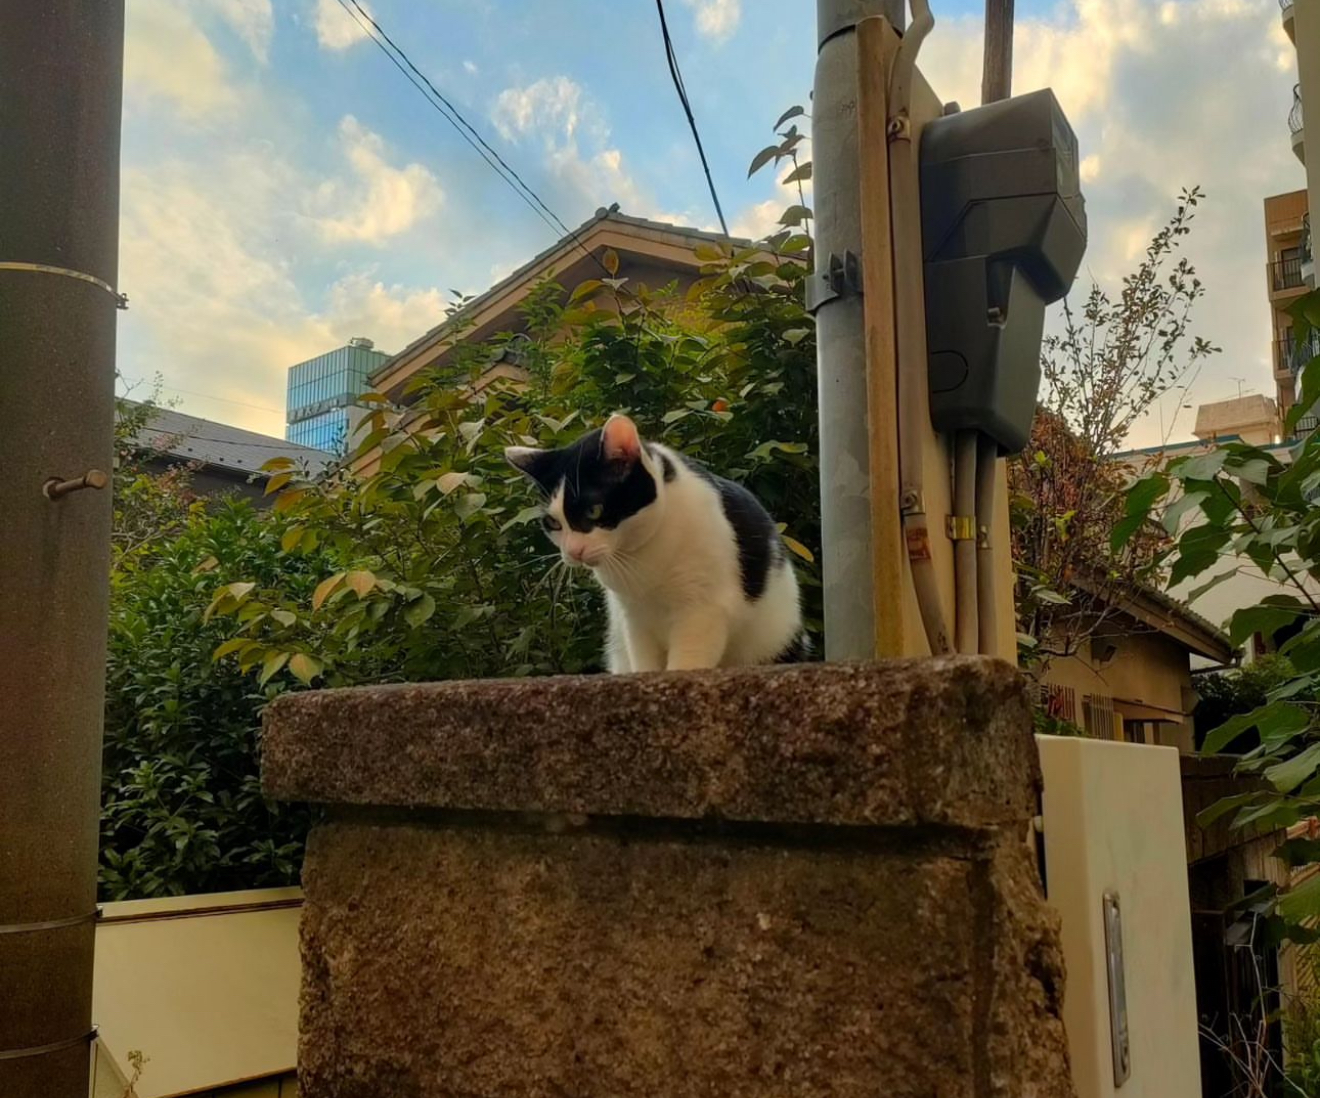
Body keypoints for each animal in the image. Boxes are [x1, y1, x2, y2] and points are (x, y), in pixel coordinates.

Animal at [504, 411, 802, 670]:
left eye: (593, 511)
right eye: (553, 523)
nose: (574, 551)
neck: (641, 557)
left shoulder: (702, 611)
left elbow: (686, 663)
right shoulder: (634, 619)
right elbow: (645, 663)